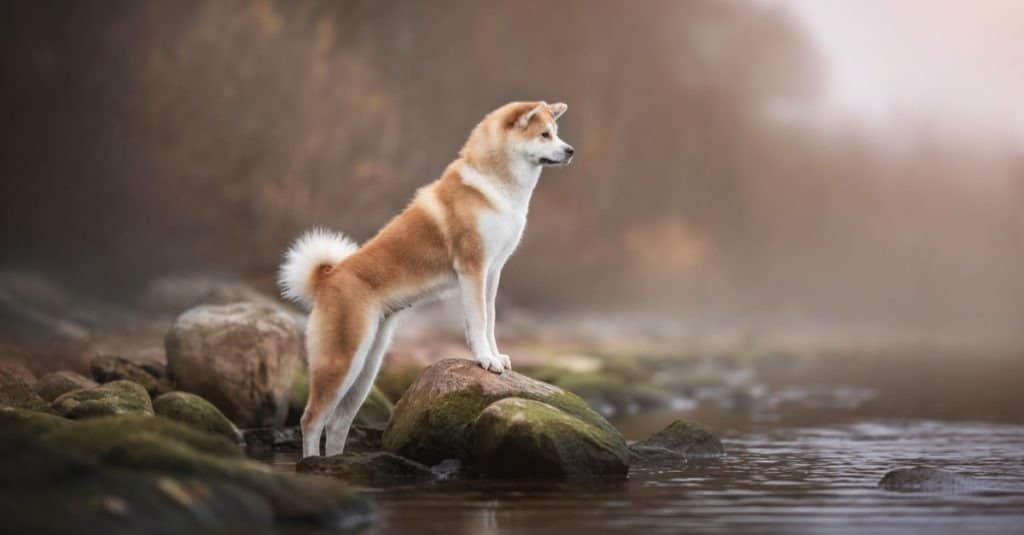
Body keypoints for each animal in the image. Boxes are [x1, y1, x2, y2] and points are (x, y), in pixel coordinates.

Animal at [276, 99, 573, 453]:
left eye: (555, 133)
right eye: (544, 135)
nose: (570, 151)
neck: (495, 187)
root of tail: (327, 277)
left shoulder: (493, 270)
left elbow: (490, 319)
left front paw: (495, 355)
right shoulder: (473, 267)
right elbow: (477, 321)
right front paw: (485, 359)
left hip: (367, 367)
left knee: (336, 425)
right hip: (341, 362)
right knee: (311, 420)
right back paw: (312, 462)